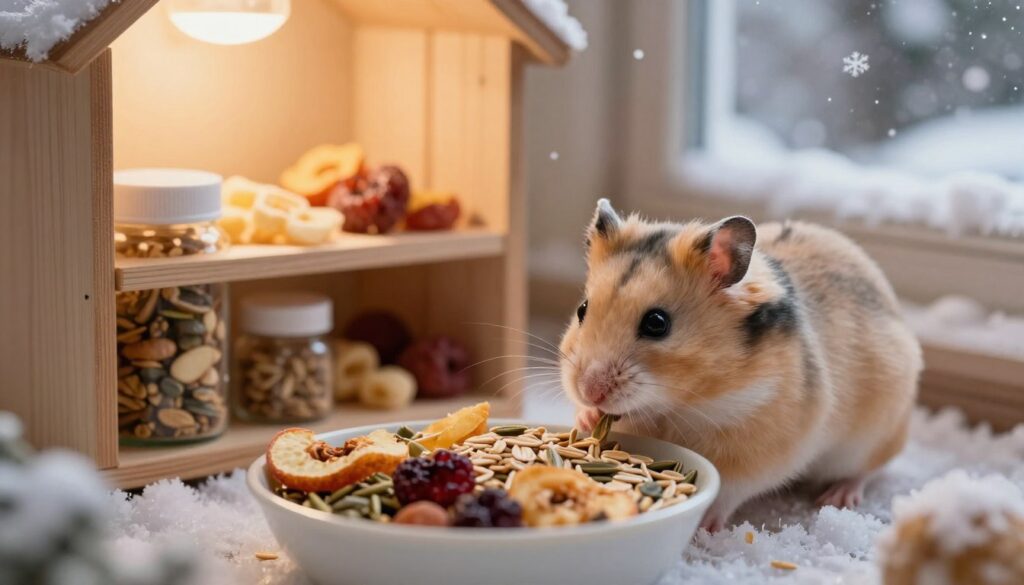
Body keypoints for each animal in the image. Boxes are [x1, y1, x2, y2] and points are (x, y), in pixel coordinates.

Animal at [559, 199, 921, 531]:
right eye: (582, 309)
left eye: (657, 323)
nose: (590, 391)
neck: (680, 404)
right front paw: (588, 417)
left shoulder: (756, 450)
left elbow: (728, 489)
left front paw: (704, 527)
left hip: (873, 436)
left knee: (868, 470)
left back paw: (838, 496)